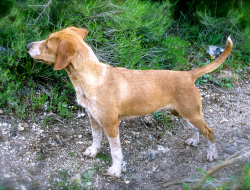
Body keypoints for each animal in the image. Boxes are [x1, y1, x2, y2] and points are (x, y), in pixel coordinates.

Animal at [25, 26, 232, 177]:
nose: (27, 45)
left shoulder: (111, 124)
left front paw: (115, 170)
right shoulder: (93, 118)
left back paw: (212, 154)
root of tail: (188, 75)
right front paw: (93, 152)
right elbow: (96, 138)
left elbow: (116, 152)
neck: (91, 78)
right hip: (183, 113)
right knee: (197, 129)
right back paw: (194, 141)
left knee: (210, 131)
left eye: (47, 44)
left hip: (191, 113)